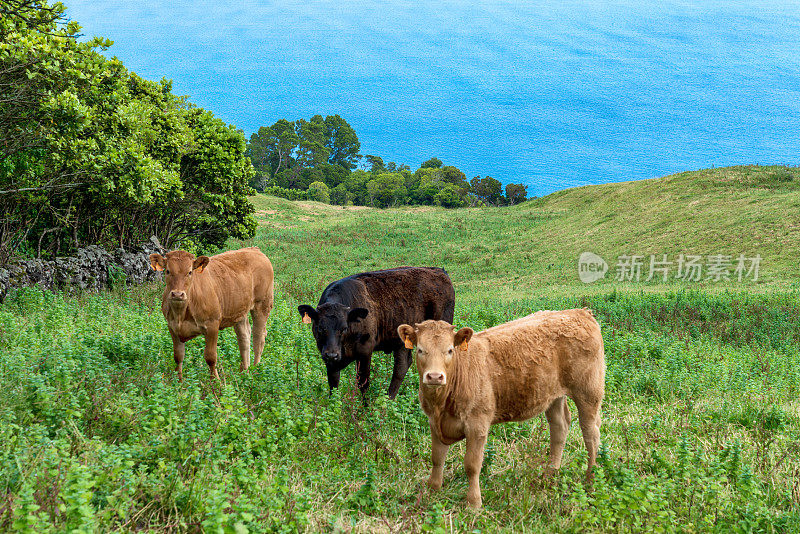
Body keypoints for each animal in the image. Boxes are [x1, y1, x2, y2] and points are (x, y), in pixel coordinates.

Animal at [150, 248, 276, 382]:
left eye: (190, 272)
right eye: (168, 271)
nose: (178, 294)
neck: (181, 314)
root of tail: (254, 249)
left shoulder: (212, 325)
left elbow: (210, 357)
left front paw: (215, 381)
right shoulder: (172, 327)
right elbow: (178, 356)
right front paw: (178, 382)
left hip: (262, 304)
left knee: (258, 337)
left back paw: (256, 370)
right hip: (239, 311)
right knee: (244, 337)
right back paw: (244, 372)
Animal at [298, 266, 454, 400]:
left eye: (344, 328)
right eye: (320, 328)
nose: (332, 354)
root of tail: (439, 271)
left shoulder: (365, 351)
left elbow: (363, 383)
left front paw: (365, 409)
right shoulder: (329, 358)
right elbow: (333, 383)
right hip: (401, 343)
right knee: (401, 367)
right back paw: (389, 399)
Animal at [396, 308, 604, 508]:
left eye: (449, 350)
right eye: (420, 350)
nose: (434, 376)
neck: (442, 404)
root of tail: (580, 312)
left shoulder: (477, 424)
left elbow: (472, 465)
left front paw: (474, 503)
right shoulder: (433, 421)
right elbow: (437, 458)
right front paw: (432, 490)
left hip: (589, 392)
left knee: (591, 433)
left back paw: (591, 481)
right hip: (553, 394)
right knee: (559, 427)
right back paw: (549, 475)